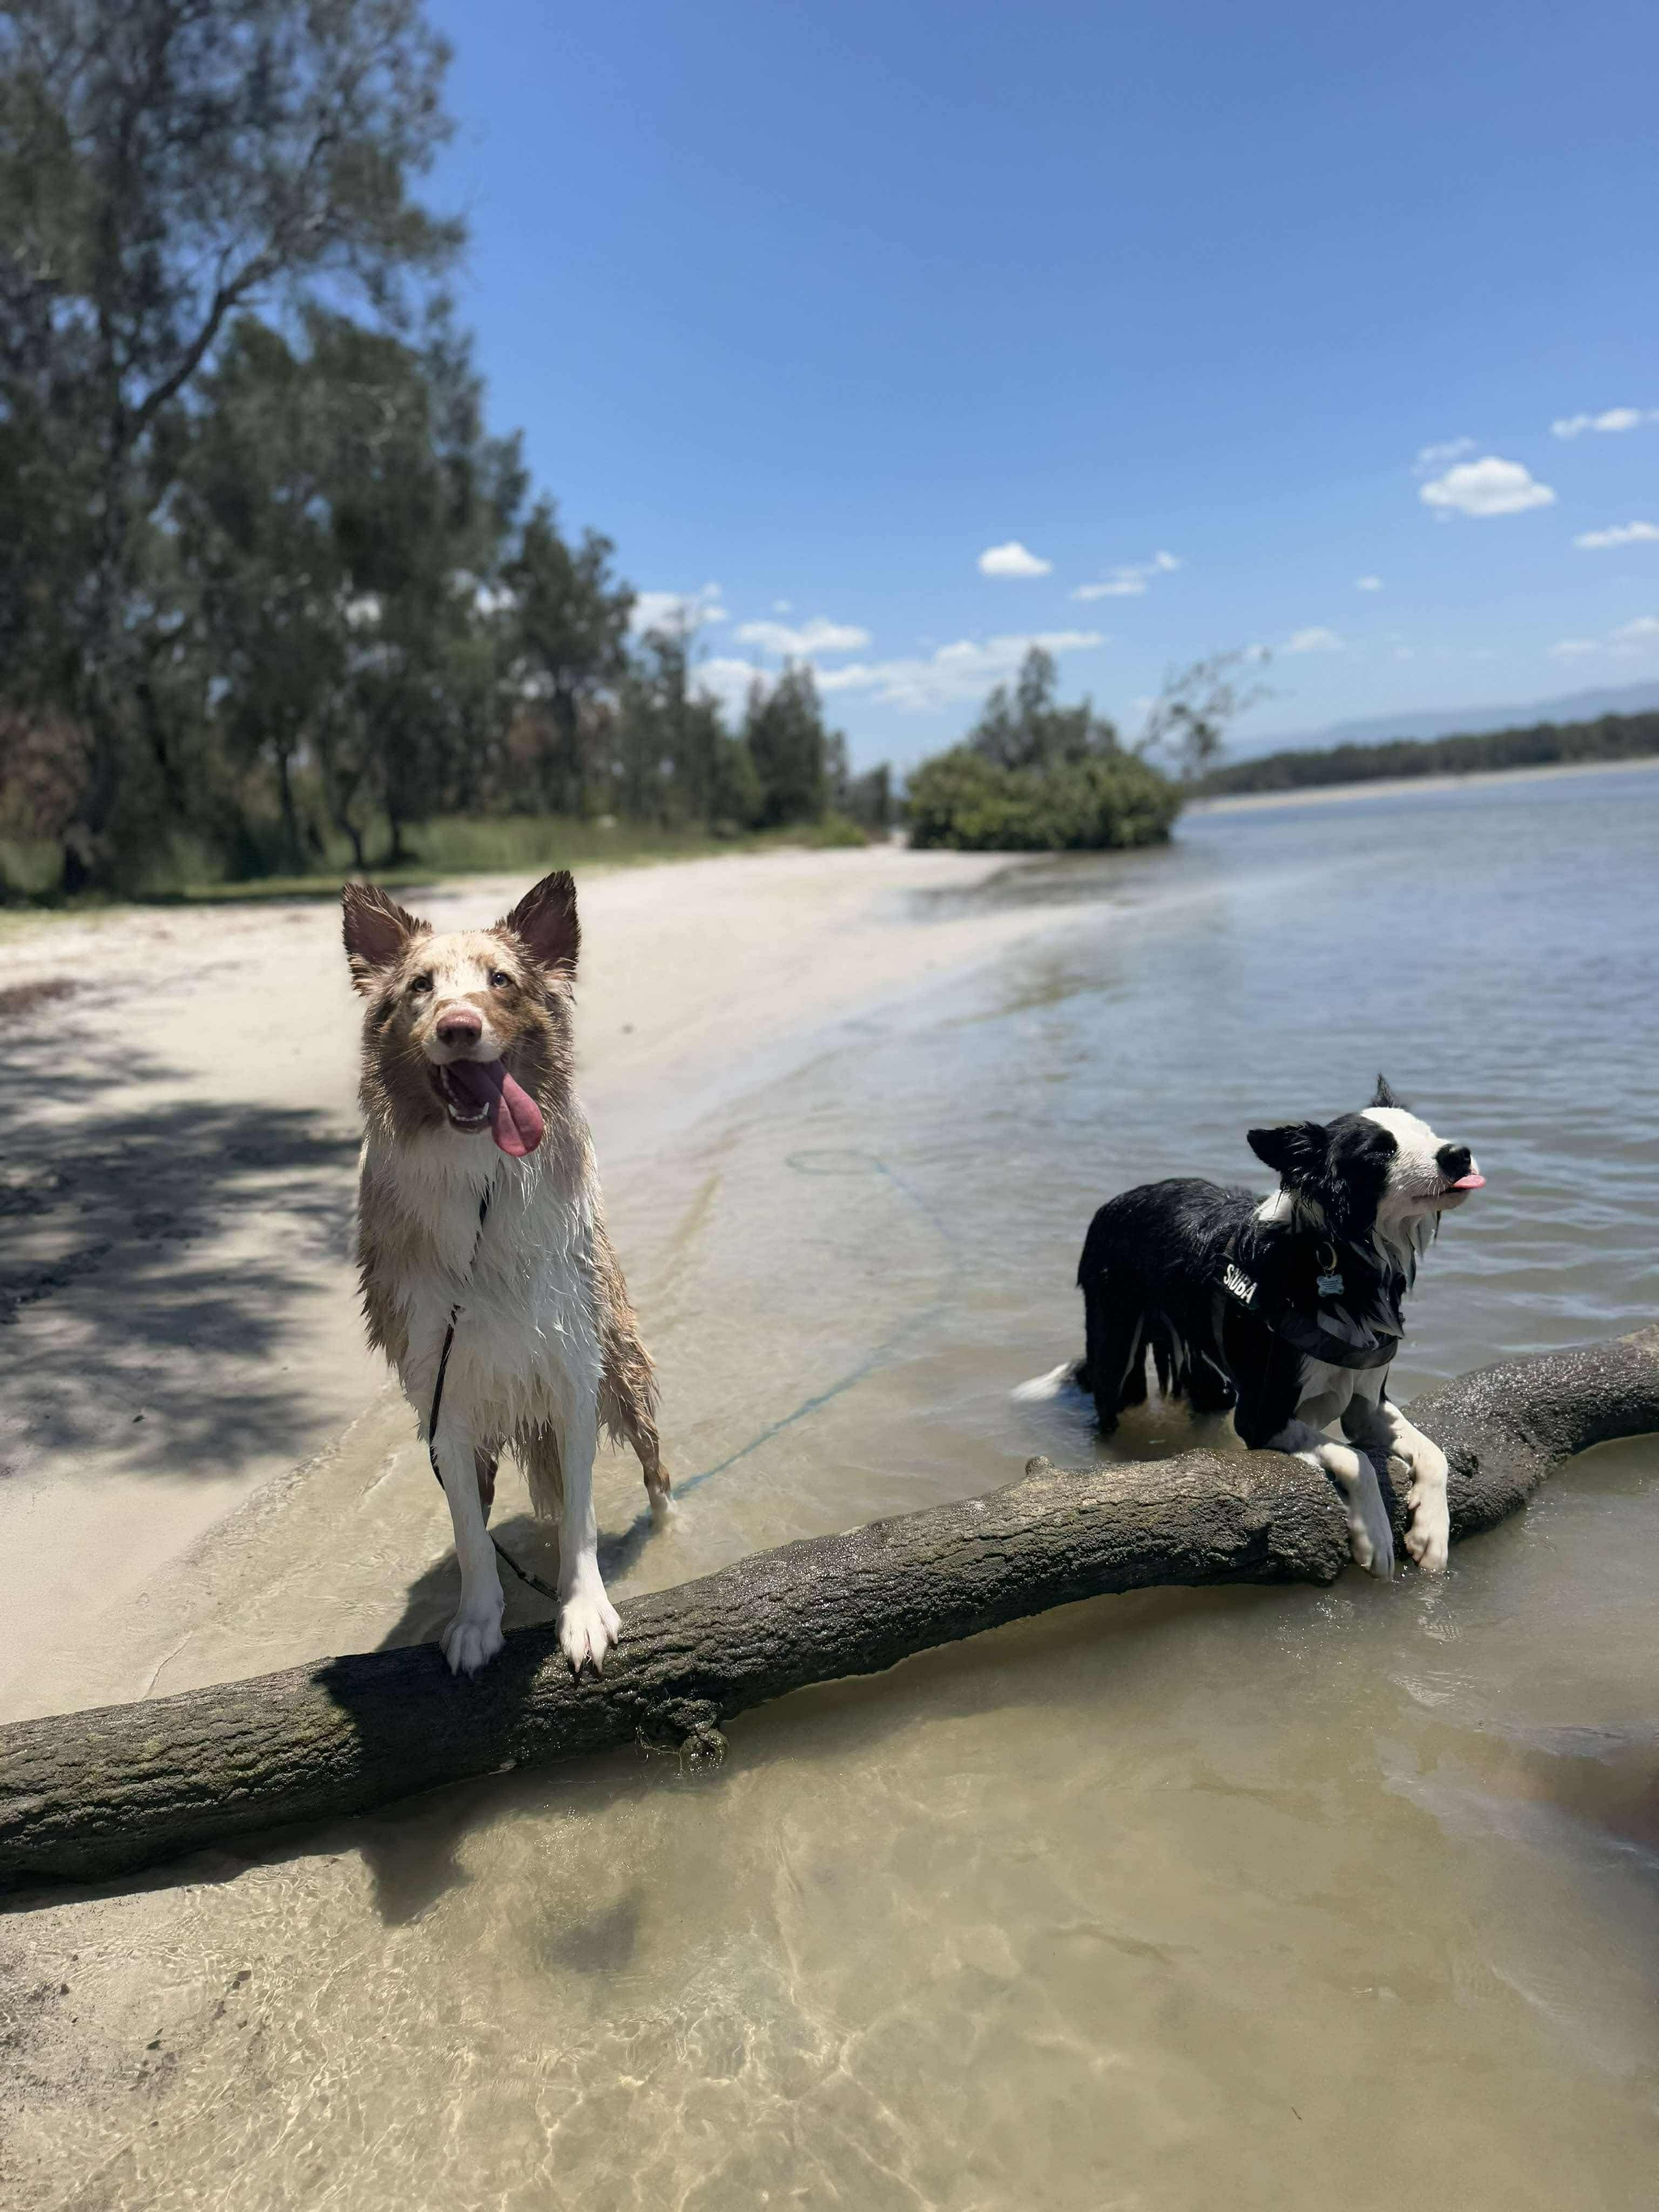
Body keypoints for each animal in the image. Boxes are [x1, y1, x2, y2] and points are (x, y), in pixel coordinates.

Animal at [345, 871, 667, 1663]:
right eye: (421, 987)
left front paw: (584, 1610)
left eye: (500, 981)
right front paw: (475, 1621)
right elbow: (469, 1531)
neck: (480, 1182)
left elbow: (582, 1513)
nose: (459, 1026)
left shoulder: (573, 1370)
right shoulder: (442, 1395)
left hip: (623, 1366)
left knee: (655, 1472)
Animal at [1022, 1084, 1486, 1575]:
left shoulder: (1368, 1404)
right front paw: (1375, 1539)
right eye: (1380, 1151)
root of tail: (1120, 1200)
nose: (1459, 1154)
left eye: (1428, 1132)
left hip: (1207, 1373)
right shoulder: (1262, 1418)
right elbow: (1354, 1455)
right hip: (1114, 1343)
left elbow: (1434, 1453)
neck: (1333, 1256)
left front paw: (1430, 1533)